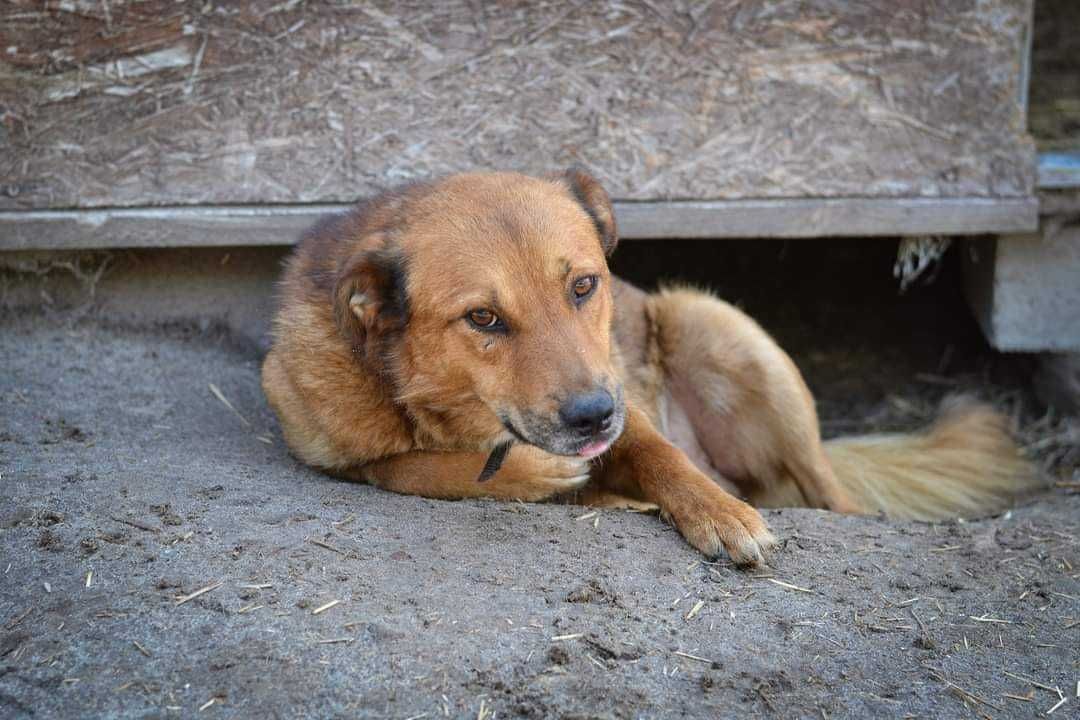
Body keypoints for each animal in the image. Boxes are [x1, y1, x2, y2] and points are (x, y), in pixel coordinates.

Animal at [259, 170, 1036, 569]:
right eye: (483, 319)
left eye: (583, 286)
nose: (593, 417)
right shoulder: (331, 449)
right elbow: (406, 466)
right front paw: (532, 475)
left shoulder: (623, 400)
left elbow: (664, 456)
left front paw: (719, 514)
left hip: (716, 326)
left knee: (830, 494)